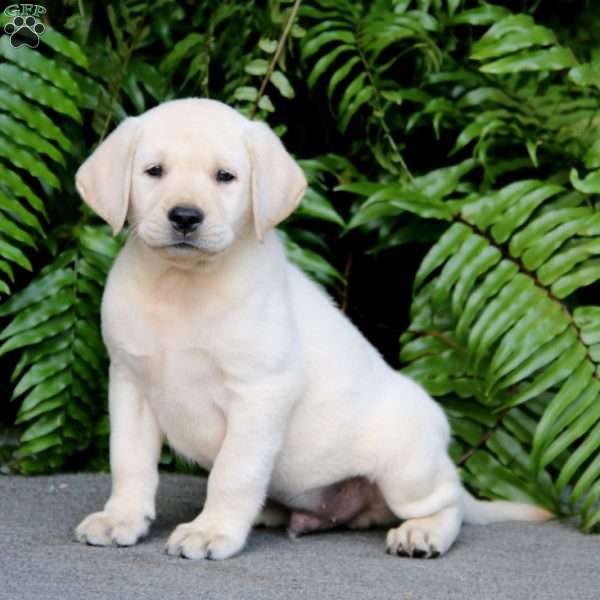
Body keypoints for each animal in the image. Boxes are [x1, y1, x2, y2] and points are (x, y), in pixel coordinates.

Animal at [74, 99, 548, 564]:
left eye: (225, 176)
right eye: (154, 171)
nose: (186, 217)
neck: (182, 284)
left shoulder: (261, 391)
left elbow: (234, 471)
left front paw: (211, 530)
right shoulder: (130, 384)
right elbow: (129, 462)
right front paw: (121, 518)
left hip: (408, 467)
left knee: (447, 503)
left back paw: (423, 532)